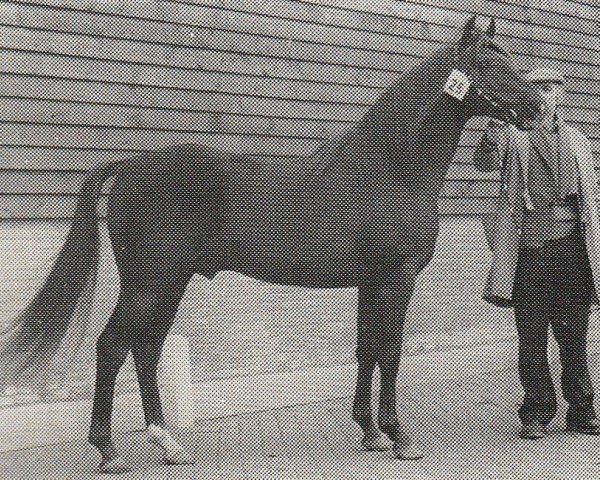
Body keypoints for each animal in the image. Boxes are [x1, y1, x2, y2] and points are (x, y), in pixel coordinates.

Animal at [1, 14, 544, 472]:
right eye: (488, 63)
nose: (538, 106)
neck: (391, 167)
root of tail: (126, 167)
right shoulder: (395, 280)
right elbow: (388, 351)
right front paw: (397, 437)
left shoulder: (373, 283)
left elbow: (367, 348)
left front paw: (369, 432)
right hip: (150, 283)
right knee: (114, 347)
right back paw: (109, 450)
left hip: (167, 285)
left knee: (146, 349)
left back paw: (169, 444)